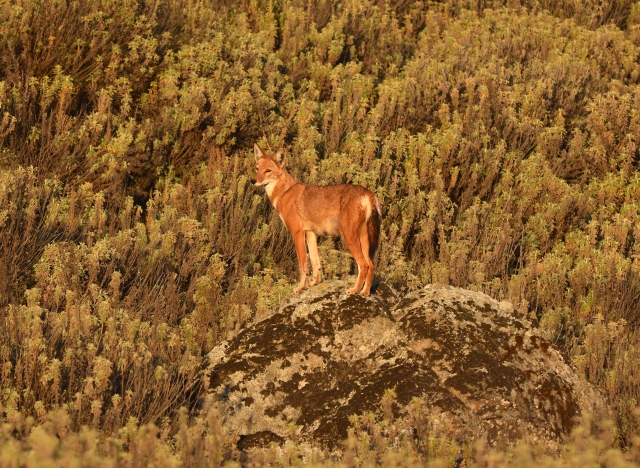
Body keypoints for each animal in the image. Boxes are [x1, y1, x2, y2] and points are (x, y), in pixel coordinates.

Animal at [251, 144, 381, 296]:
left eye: (268, 170)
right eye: (257, 169)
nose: (253, 181)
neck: (284, 193)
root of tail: (367, 192)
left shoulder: (297, 234)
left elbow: (303, 266)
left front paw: (300, 288)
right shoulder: (310, 234)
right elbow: (315, 263)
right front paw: (314, 284)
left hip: (349, 237)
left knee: (364, 265)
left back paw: (354, 290)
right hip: (363, 240)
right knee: (371, 265)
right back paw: (365, 292)